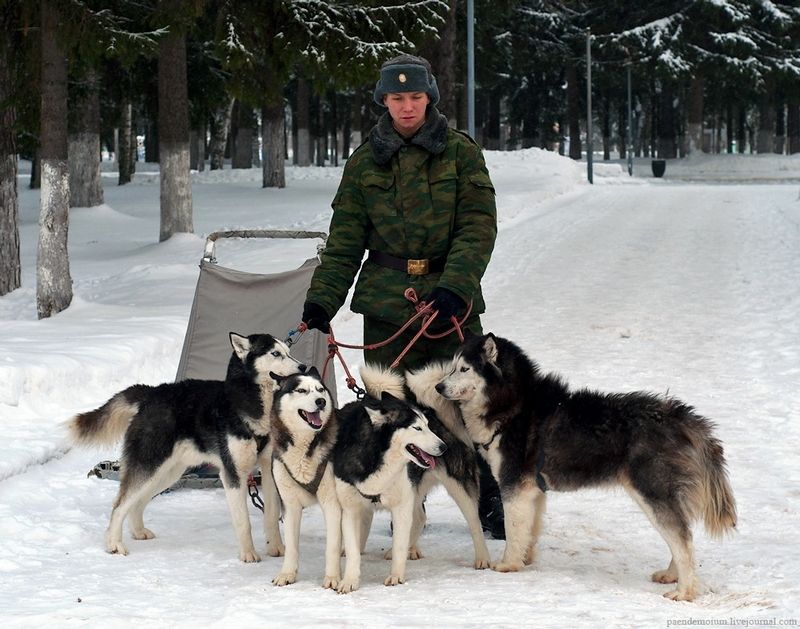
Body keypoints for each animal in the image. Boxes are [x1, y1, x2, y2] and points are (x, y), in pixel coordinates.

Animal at [68, 332, 306, 560]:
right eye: (275, 353)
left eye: (288, 351)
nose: (303, 367)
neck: (247, 403)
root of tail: (151, 393)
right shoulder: (234, 474)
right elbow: (243, 522)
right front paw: (248, 554)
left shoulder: (268, 469)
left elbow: (272, 516)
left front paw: (276, 548)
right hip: (149, 465)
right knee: (119, 505)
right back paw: (114, 544)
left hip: (166, 473)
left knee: (136, 502)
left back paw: (138, 531)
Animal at [270, 368, 342, 588]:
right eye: (301, 390)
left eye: (320, 389)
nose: (321, 401)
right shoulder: (290, 505)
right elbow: (292, 545)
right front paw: (287, 574)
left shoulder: (332, 504)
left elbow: (332, 546)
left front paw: (332, 577)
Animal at [330, 390, 444, 592]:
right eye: (417, 428)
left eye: (427, 425)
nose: (443, 446)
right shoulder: (350, 509)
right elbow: (352, 550)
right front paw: (350, 580)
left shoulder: (402, 505)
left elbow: (399, 544)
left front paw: (396, 576)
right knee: (419, 517)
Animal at [438, 332, 736, 600]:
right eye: (451, 366)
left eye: (464, 368)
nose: (439, 387)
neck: (514, 404)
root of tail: (680, 417)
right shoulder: (532, 491)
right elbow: (528, 531)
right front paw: (526, 559)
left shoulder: (513, 485)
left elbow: (513, 531)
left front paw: (508, 564)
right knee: (682, 537)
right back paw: (672, 575)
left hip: (652, 493)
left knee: (683, 540)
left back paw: (684, 591)